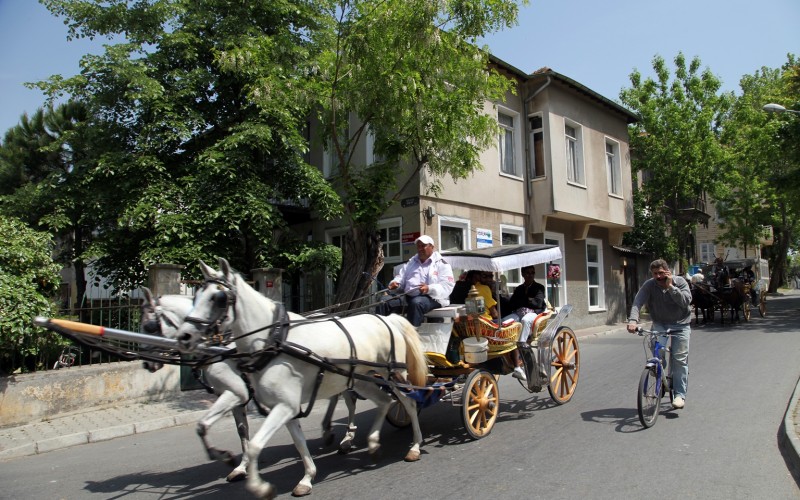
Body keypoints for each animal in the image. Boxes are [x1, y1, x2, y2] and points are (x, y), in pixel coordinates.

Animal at [140, 290, 360, 484]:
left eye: (149, 326)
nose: (146, 364)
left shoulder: (234, 393)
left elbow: (207, 426)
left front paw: (228, 458)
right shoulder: (237, 399)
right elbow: (242, 431)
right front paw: (241, 467)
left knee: (349, 400)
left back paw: (346, 438)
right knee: (336, 396)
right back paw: (329, 431)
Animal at [174, 260, 424, 498]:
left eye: (218, 298)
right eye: (196, 295)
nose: (184, 336)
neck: (272, 341)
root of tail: (388, 319)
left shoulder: (275, 403)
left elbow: (253, 445)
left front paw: (259, 487)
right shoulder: (285, 406)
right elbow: (297, 442)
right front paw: (306, 478)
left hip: (394, 375)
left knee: (409, 403)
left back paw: (415, 446)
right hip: (361, 380)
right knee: (384, 401)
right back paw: (371, 443)